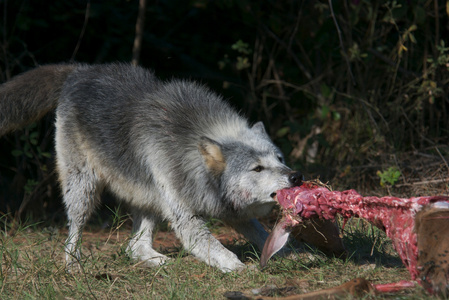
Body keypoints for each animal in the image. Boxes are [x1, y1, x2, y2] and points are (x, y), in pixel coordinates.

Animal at [0, 63, 302, 272]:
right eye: (257, 169)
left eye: (280, 159)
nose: (296, 177)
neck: (189, 151)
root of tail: (80, 71)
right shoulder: (186, 218)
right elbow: (216, 248)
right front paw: (241, 268)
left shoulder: (231, 210)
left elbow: (263, 234)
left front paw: (297, 252)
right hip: (84, 190)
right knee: (74, 231)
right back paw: (74, 265)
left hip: (150, 199)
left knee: (134, 247)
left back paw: (162, 263)